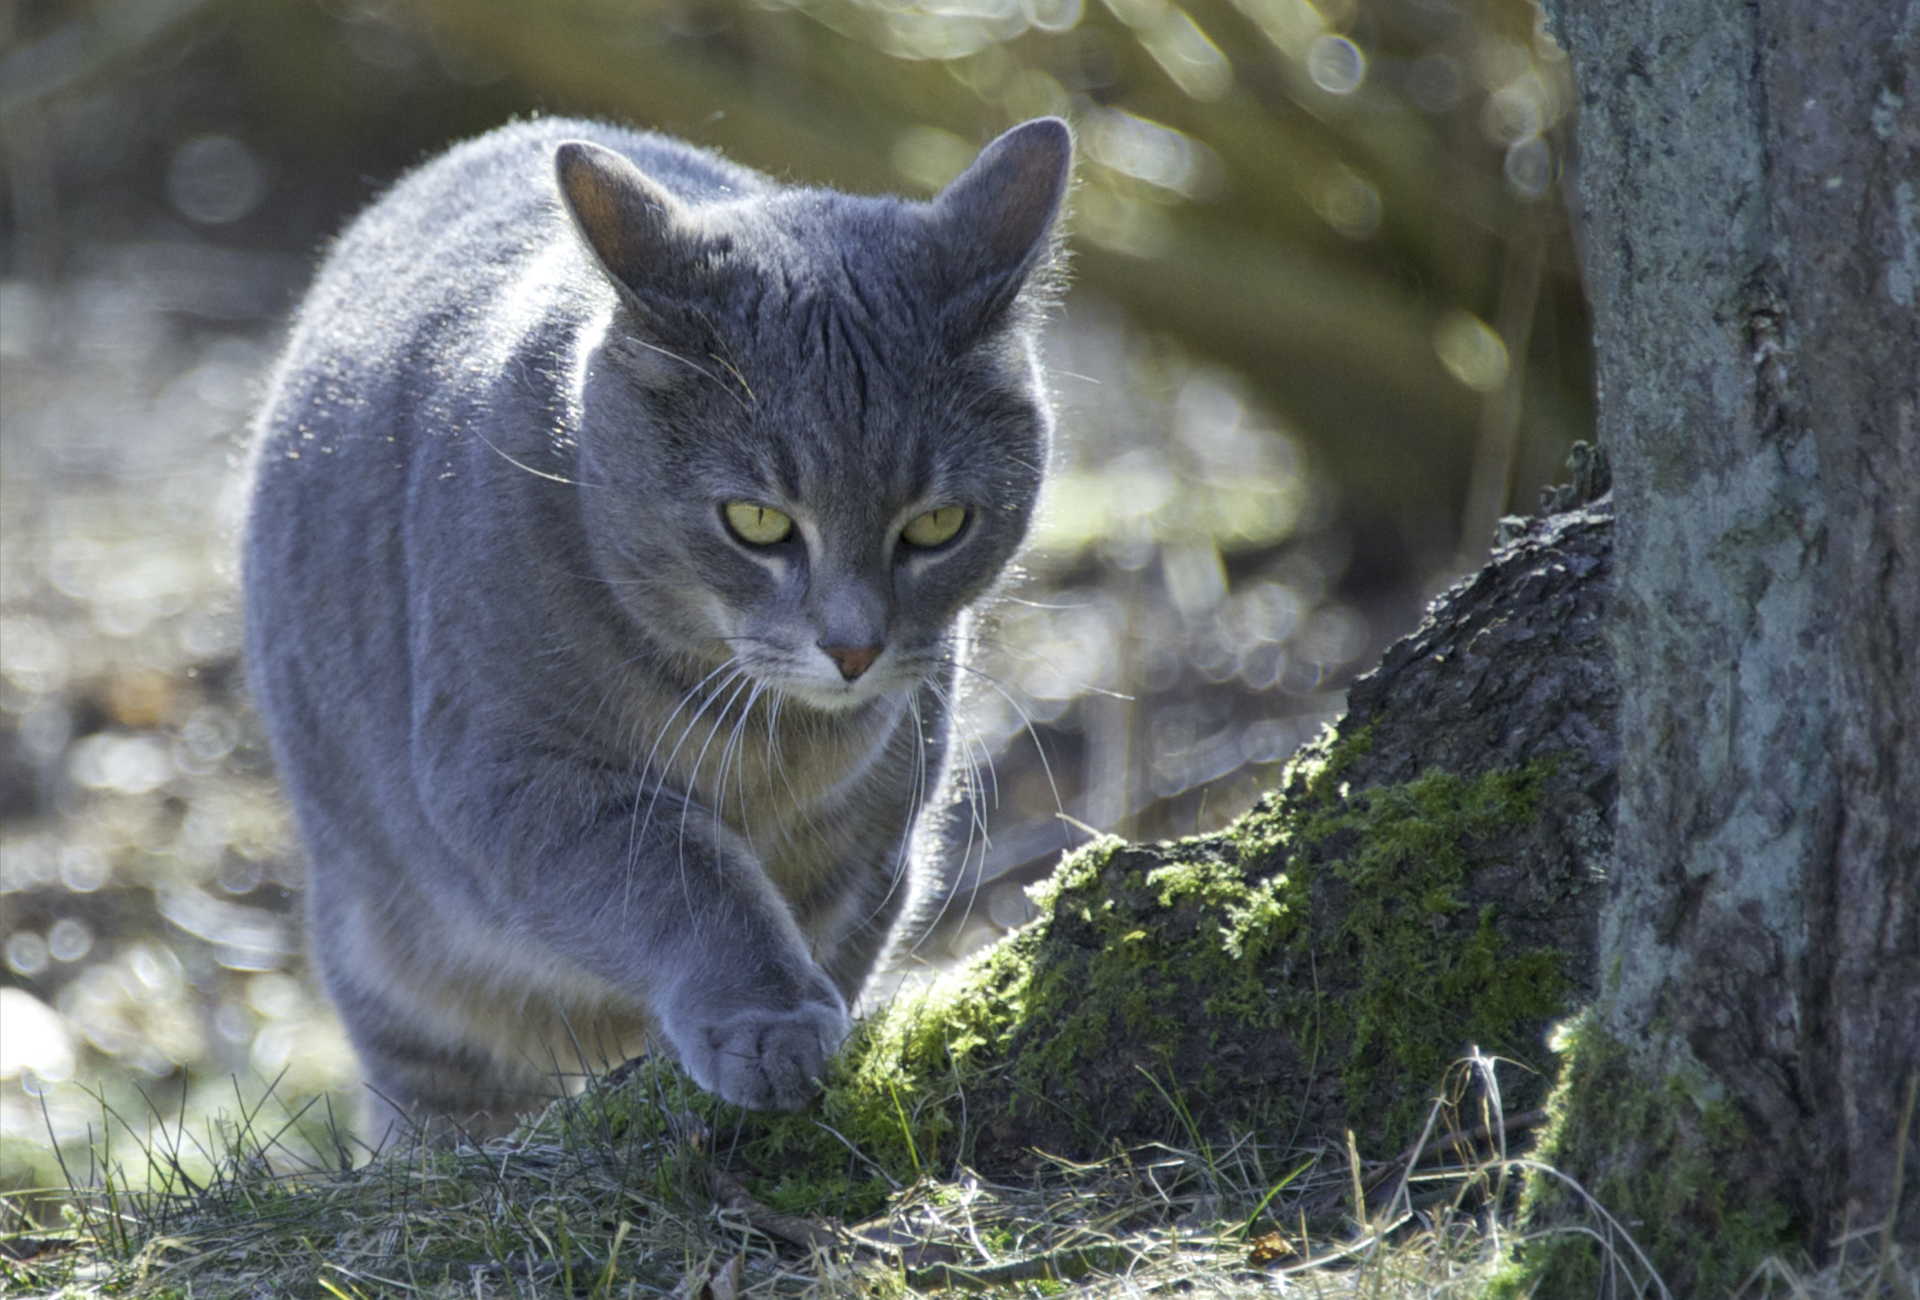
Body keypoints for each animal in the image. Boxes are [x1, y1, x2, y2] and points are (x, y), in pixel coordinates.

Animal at [241, 116, 1075, 1144]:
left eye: (937, 526)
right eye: (755, 521)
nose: (853, 649)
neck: (770, 744)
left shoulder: (883, 834)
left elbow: (835, 934)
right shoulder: (514, 774)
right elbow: (686, 879)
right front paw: (768, 1023)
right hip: (396, 963)